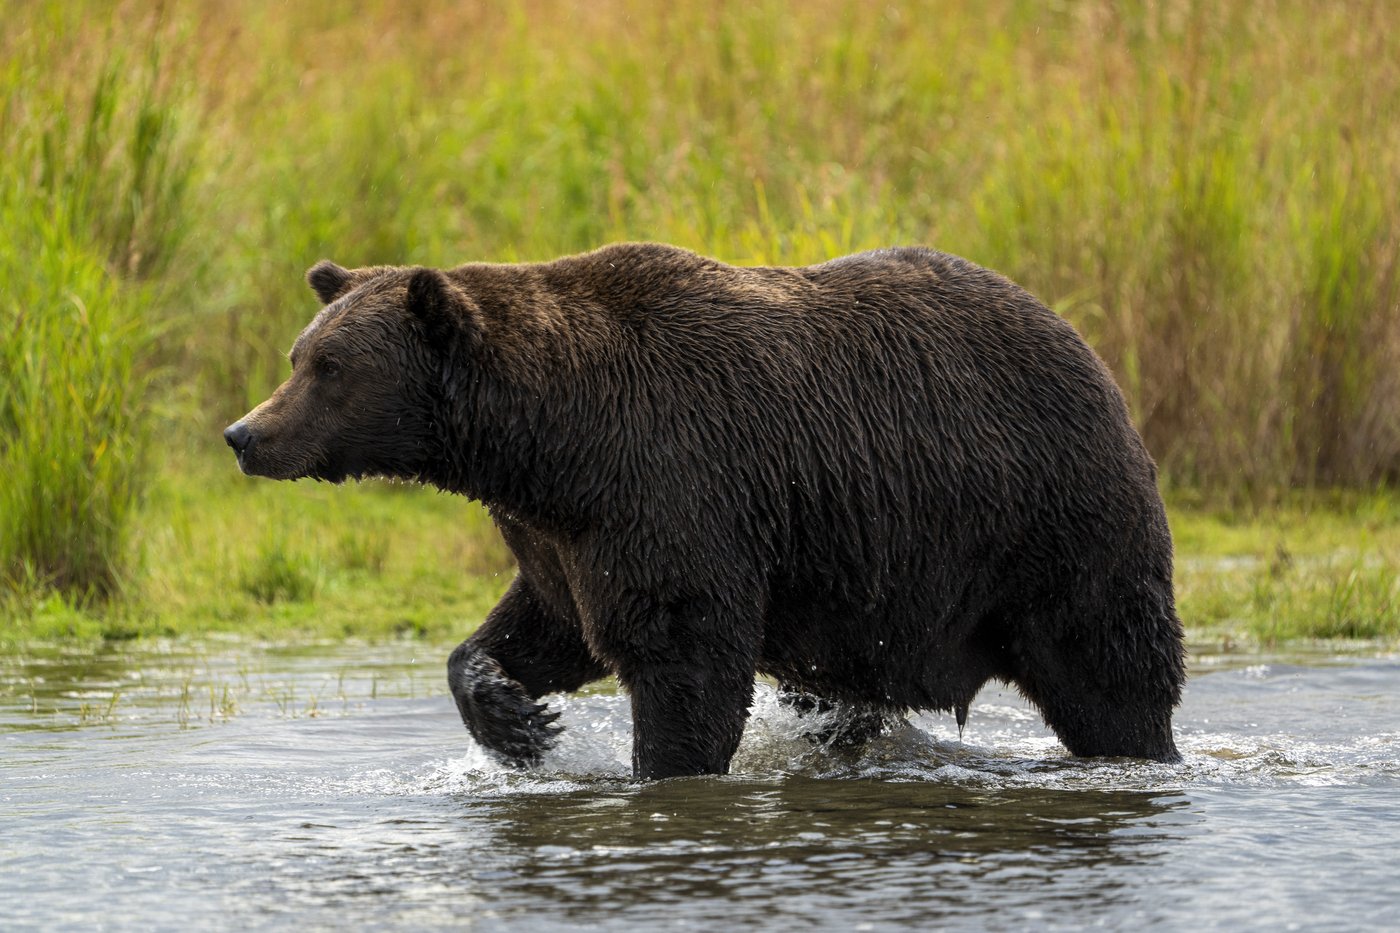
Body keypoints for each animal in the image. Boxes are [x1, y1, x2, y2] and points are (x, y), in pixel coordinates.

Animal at [224, 243, 1187, 779]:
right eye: (300, 353)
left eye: (331, 367)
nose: (245, 433)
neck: (550, 439)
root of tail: (1092, 355)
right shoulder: (564, 532)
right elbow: (545, 627)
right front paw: (517, 717)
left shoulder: (672, 484)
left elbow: (683, 659)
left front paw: (658, 772)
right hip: (871, 586)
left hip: (1050, 522)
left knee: (1110, 666)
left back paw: (1143, 750)